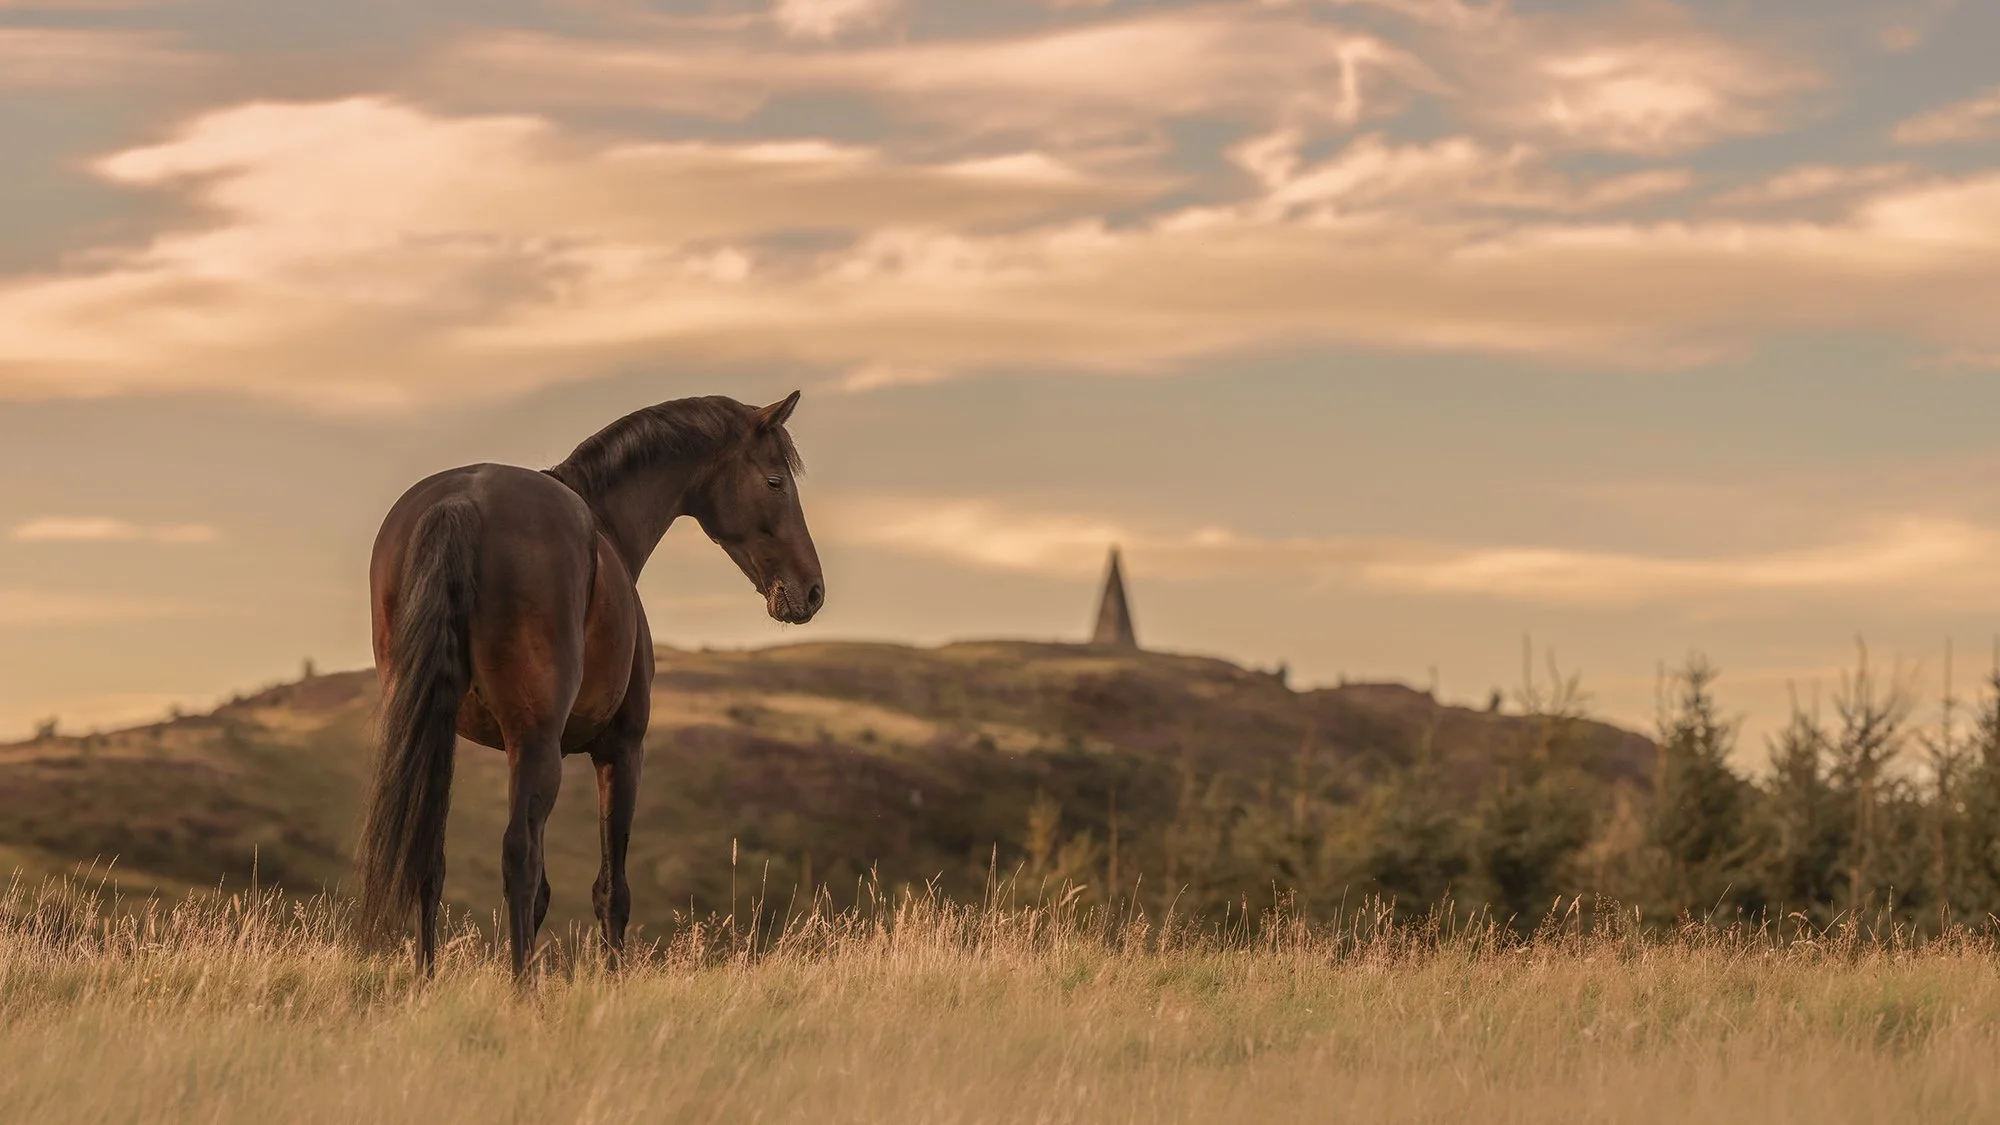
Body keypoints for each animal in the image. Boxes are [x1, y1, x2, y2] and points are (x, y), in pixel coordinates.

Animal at [356, 392, 823, 977]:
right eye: (775, 482)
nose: (812, 590)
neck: (606, 524)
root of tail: (462, 502)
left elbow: (544, 893)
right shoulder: (620, 750)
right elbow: (610, 890)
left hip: (439, 734)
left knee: (431, 858)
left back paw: (427, 981)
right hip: (536, 743)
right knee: (517, 859)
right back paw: (521, 988)